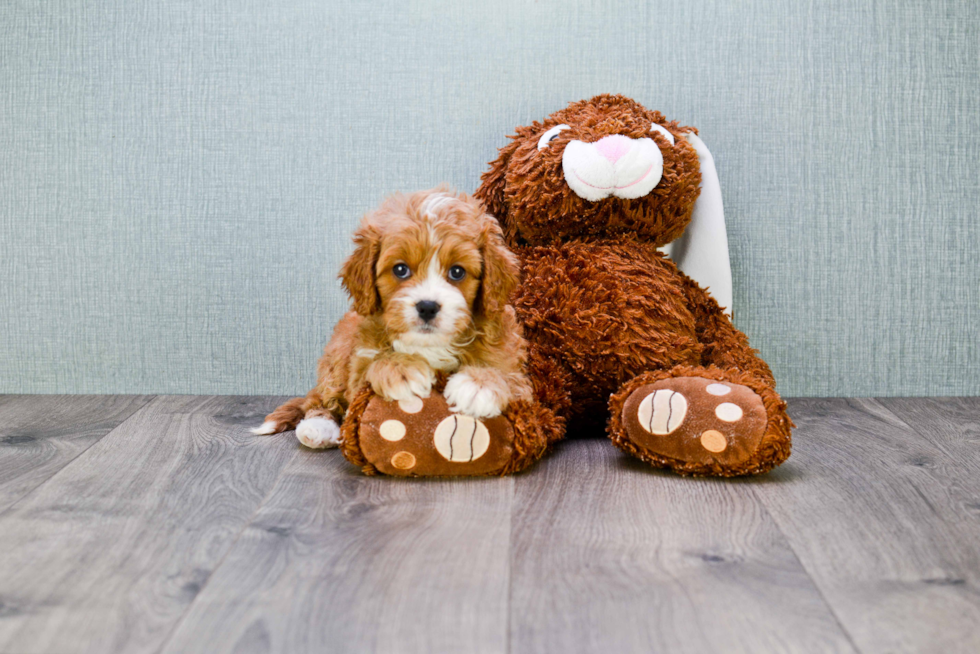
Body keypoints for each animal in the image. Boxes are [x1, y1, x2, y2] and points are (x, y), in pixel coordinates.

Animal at [249, 187, 532, 448]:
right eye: (400, 269)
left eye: (457, 272)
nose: (427, 307)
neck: (430, 346)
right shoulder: (358, 364)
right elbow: (372, 366)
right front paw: (401, 370)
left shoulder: (519, 375)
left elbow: (506, 375)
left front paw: (479, 384)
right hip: (337, 353)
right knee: (320, 398)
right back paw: (318, 427)